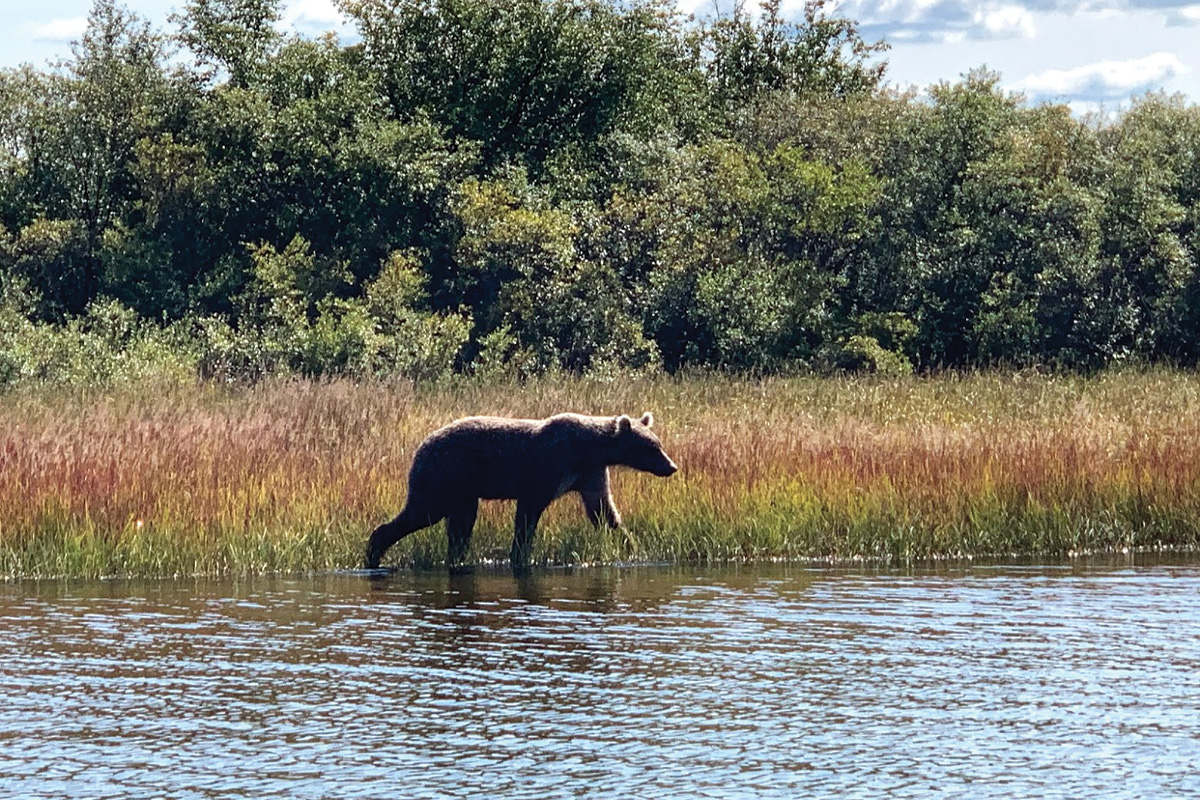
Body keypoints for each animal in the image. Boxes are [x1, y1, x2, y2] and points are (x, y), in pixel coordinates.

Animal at [360, 412, 681, 568]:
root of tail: (420, 447)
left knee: (460, 525)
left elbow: (602, 511)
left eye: (658, 443)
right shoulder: (547, 469)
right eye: (651, 448)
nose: (671, 466)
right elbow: (528, 513)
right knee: (423, 512)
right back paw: (375, 550)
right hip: (444, 475)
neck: (590, 449)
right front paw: (520, 554)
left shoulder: (590, 475)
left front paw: (632, 547)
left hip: (463, 489)